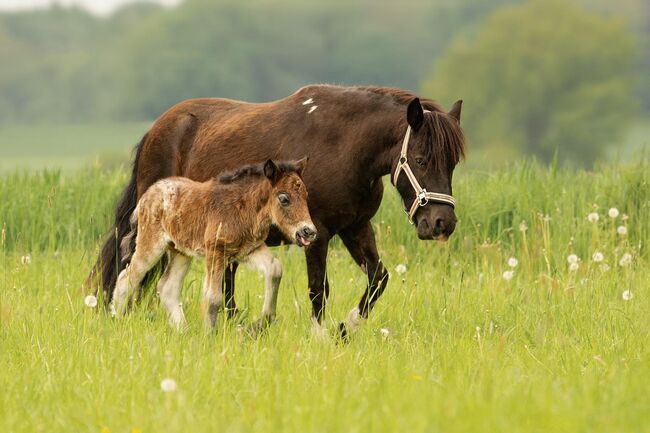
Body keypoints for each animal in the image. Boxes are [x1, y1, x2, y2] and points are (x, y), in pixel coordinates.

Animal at [112, 159, 316, 330]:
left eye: (306, 195)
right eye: (284, 198)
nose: (309, 231)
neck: (243, 208)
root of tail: (145, 196)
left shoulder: (248, 250)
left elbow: (275, 269)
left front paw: (262, 322)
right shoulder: (216, 251)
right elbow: (213, 297)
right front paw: (209, 335)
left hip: (180, 251)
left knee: (167, 286)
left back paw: (183, 331)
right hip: (151, 245)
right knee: (127, 278)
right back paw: (117, 321)